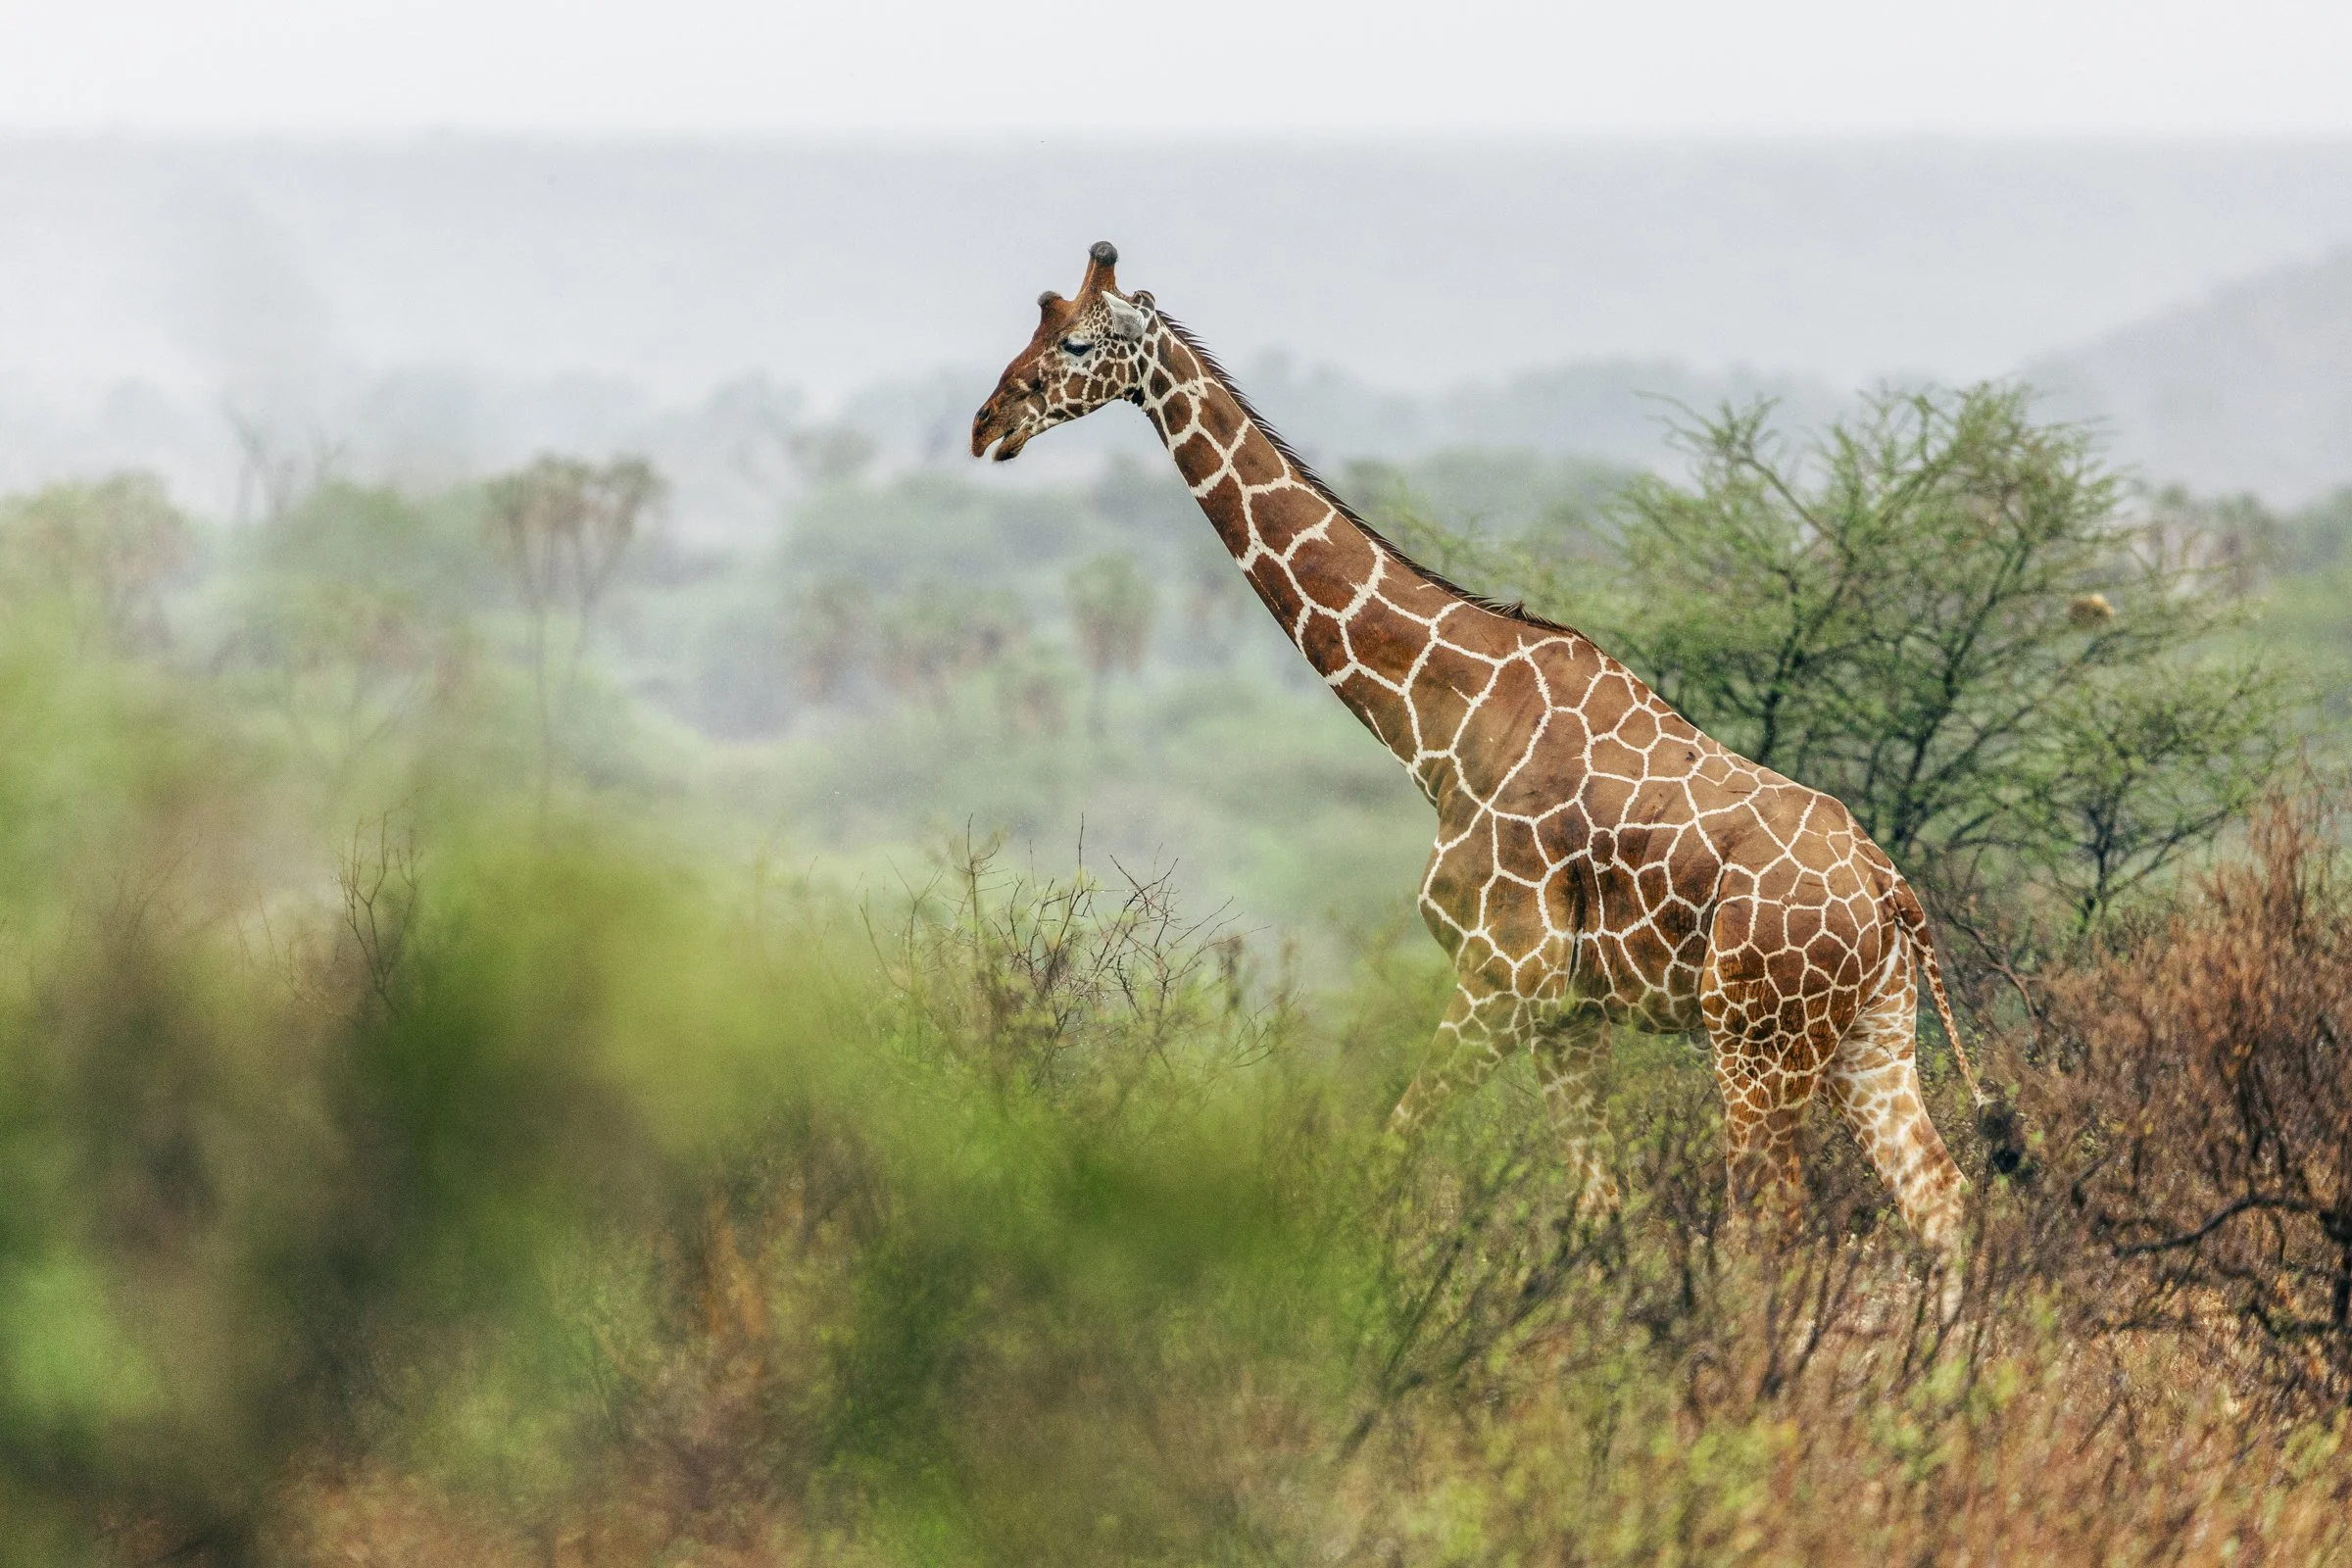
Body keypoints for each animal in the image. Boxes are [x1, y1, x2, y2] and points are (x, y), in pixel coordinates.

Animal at [971, 242, 2012, 1261]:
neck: (1442, 726)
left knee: (1773, 1220)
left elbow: (1390, 1153)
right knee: (1941, 1197)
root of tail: (1892, 891)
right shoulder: (1569, 1016)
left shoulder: (1502, 979)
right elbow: (1603, 1212)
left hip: (1759, 1039)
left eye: (1075, 344)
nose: (988, 425)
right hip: (1872, 1033)